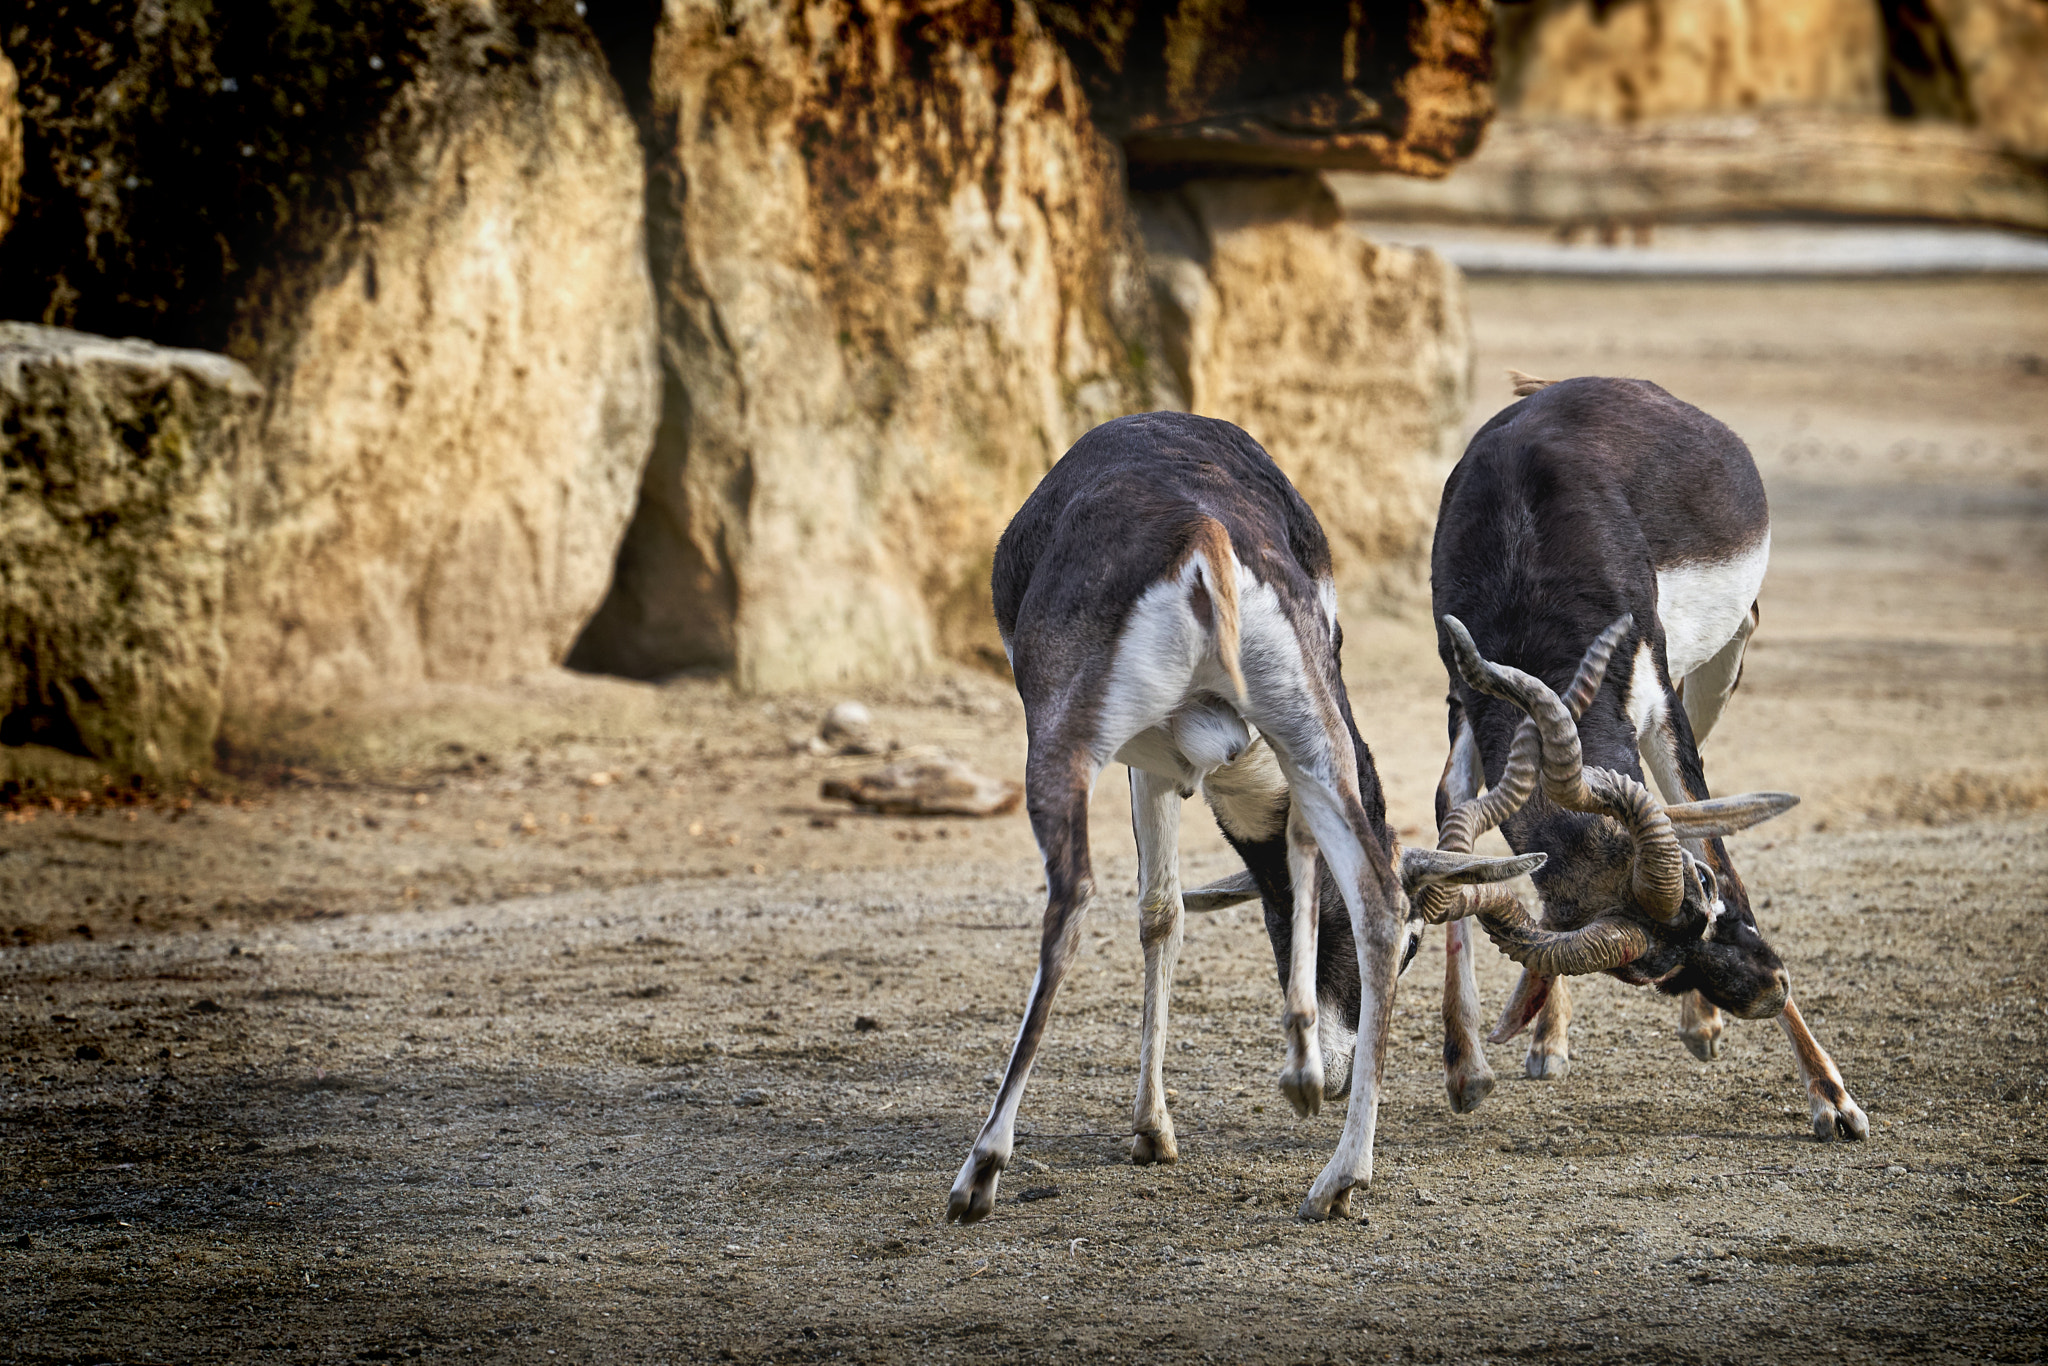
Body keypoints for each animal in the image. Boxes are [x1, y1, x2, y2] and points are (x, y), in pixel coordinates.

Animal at [950, 411, 1540, 1220]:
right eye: (1417, 949)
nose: (1341, 1073)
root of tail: (1204, 533)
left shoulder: (1148, 763)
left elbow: (1160, 912)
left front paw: (1152, 1128)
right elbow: (1278, 879)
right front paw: (1299, 1071)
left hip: (1065, 743)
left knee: (1070, 901)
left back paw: (980, 1170)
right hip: (1312, 732)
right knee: (1374, 897)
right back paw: (1340, 1175)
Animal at [1417, 374, 1867, 1146]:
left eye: (1703, 897)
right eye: (1653, 973)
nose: (1769, 989)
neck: (1521, 557)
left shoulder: (1658, 708)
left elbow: (1718, 845)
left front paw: (1831, 1099)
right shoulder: (1467, 707)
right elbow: (1458, 836)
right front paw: (1469, 1066)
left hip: (1716, 671)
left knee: (1702, 805)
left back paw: (1708, 1031)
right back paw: (1555, 1035)